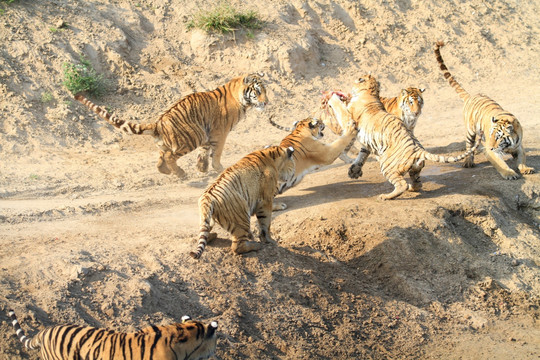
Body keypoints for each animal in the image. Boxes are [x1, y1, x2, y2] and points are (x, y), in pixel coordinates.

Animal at [75, 73, 268, 179]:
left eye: (265, 90)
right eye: (258, 91)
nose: (266, 102)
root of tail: (158, 123)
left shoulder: (208, 134)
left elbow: (204, 152)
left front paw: (202, 168)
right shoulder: (219, 133)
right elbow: (216, 153)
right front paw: (218, 168)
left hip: (176, 140)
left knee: (161, 160)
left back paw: (170, 172)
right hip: (193, 135)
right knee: (169, 157)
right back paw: (181, 173)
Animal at [326, 74, 484, 201]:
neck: (371, 92)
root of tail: (418, 150)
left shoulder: (349, 119)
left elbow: (340, 109)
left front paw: (332, 97)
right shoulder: (367, 143)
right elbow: (362, 155)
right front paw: (354, 171)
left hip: (388, 166)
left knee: (400, 185)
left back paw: (386, 196)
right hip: (415, 169)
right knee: (418, 184)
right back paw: (410, 187)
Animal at [432, 41, 532, 179]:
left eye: (498, 137)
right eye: (490, 136)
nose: (490, 147)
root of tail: (470, 96)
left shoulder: (519, 146)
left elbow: (522, 158)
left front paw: (525, 169)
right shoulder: (491, 152)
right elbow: (500, 163)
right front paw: (509, 173)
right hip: (470, 132)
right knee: (469, 147)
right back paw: (468, 162)